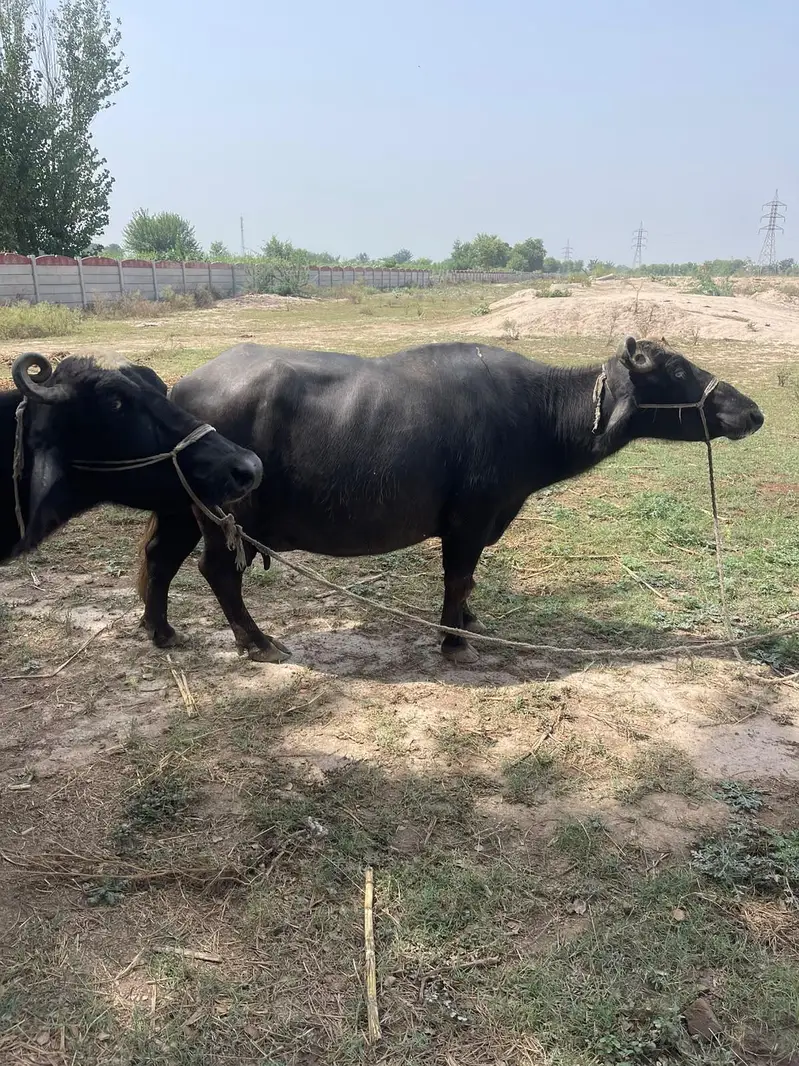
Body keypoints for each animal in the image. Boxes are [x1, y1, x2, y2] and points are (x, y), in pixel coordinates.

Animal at [137, 337, 763, 664]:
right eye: (677, 369)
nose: (751, 411)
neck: (536, 413)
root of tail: (180, 387)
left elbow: (470, 583)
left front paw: (468, 622)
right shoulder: (469, 519)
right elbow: (459, 577)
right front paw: (454, 639)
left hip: (182, 509)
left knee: (158, 558)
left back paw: (160, 630)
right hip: (223, 518)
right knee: (219, 571)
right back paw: (257, 641)